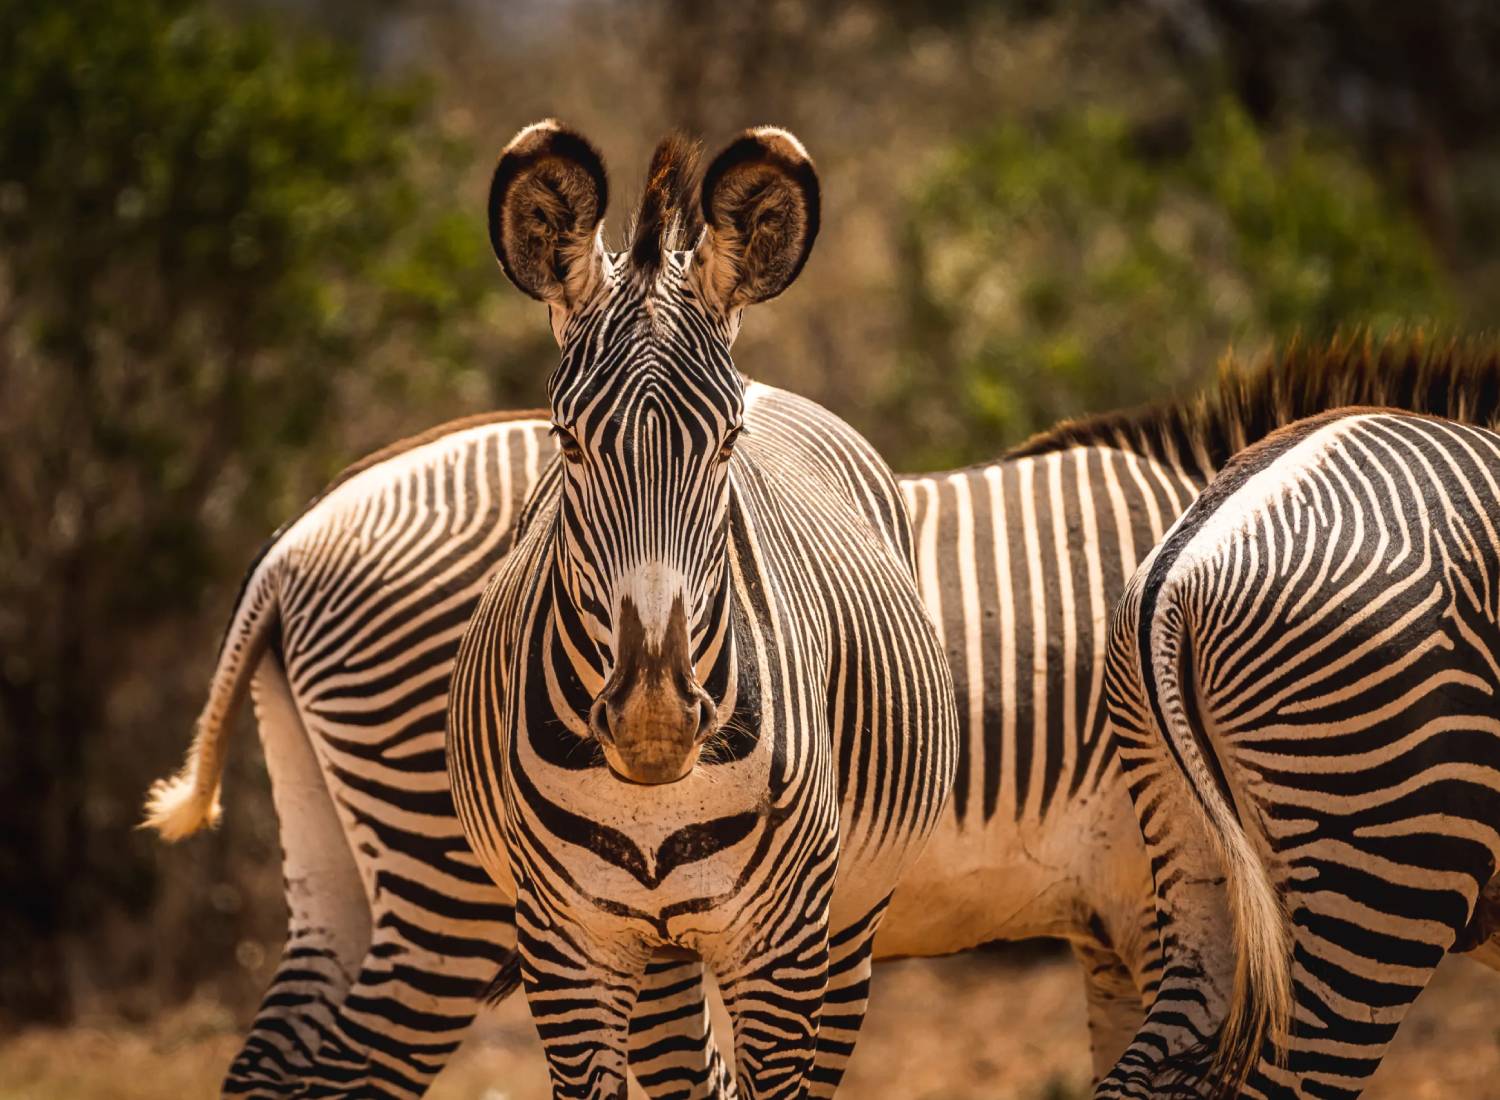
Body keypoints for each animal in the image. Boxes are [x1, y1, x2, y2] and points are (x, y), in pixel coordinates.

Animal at [442, 120, 960, 1099]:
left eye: (727, 442)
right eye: (568, 441)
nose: (654, 726)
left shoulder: (782, 949)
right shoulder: (565, 950)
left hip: (850, 923)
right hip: (659, 951)